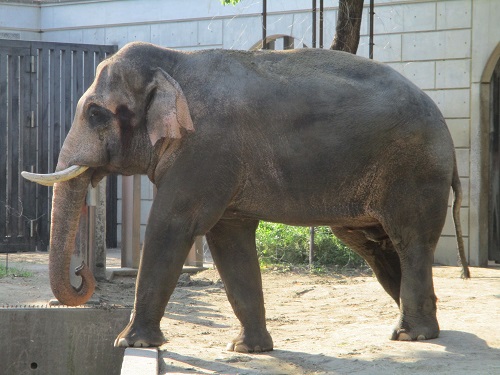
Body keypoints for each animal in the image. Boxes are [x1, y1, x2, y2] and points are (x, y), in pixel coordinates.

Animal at [22, 41, 468, 352]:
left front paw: (129, 342)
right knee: (371, 243)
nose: (83, 273)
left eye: (96, 113)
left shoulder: (206, 149)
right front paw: (247, 349)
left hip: (413, 172)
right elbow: (229, 239)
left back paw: (411, 336)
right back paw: (428, 328)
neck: (175, 62)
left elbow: (172, 225)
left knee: (409, 241)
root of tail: (446, 127)